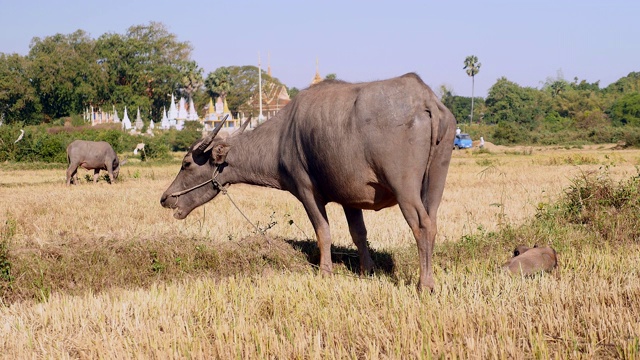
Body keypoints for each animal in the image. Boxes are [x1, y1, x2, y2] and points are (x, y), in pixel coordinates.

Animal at [162, 73, 458, 292]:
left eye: (186, 164)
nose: (165, 198)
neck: (281, 138)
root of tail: (425, 100)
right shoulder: (351, 198)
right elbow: (358, 234)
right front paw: (368, 271)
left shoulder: (307, 192)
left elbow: (323, 232)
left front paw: (325, 272)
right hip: (435, 184)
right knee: (433, 222)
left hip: (405, 189)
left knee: (422, 225)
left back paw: (424, 284)